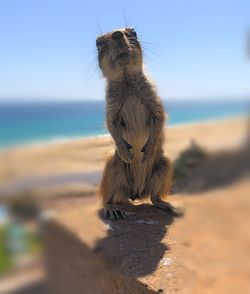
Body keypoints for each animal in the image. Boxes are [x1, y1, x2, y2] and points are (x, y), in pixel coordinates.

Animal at [96, 27, 182, 219]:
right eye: (98, 42)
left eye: (133, 31)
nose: (117, 34)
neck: (127, 80)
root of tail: (135, 192)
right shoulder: (111, 106)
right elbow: (111, 124)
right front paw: (126, 152)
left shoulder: (153, 98)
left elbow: (159, 118)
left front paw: (147, 152)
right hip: (112, 165)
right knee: (108, 197)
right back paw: (112, 209)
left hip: (165, 164)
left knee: (154, 197)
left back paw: (171, 207)